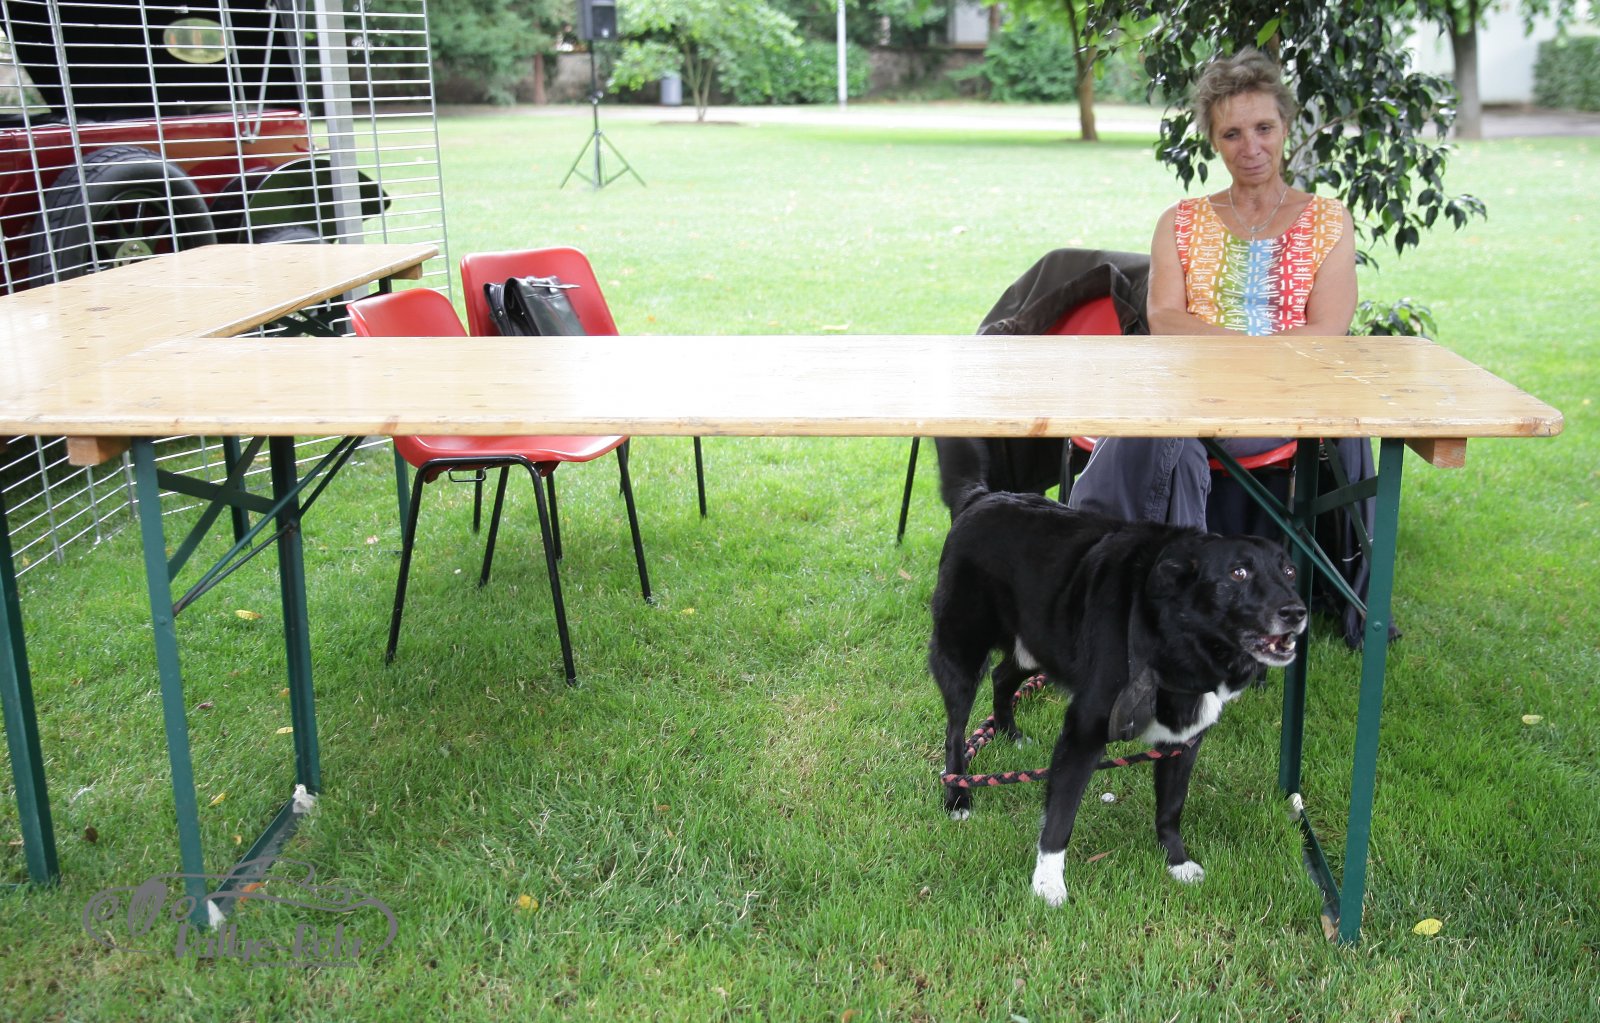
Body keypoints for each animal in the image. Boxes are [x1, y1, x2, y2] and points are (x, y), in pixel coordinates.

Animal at [928, 490, 1307, 906]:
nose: (1296, 612)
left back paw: (1010, 733)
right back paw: (957, 796)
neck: (1169, 629)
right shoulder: (1082, 732)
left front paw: (1176, 861)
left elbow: (1171, 807)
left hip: (1037, 647)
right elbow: (1060, 817)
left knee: (1002, 678)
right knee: (955, 731)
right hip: (963, 653)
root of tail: (982, 496)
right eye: (1239, 573)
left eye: (1290, 572)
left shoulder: (1184, 741)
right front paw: (1048, 884)